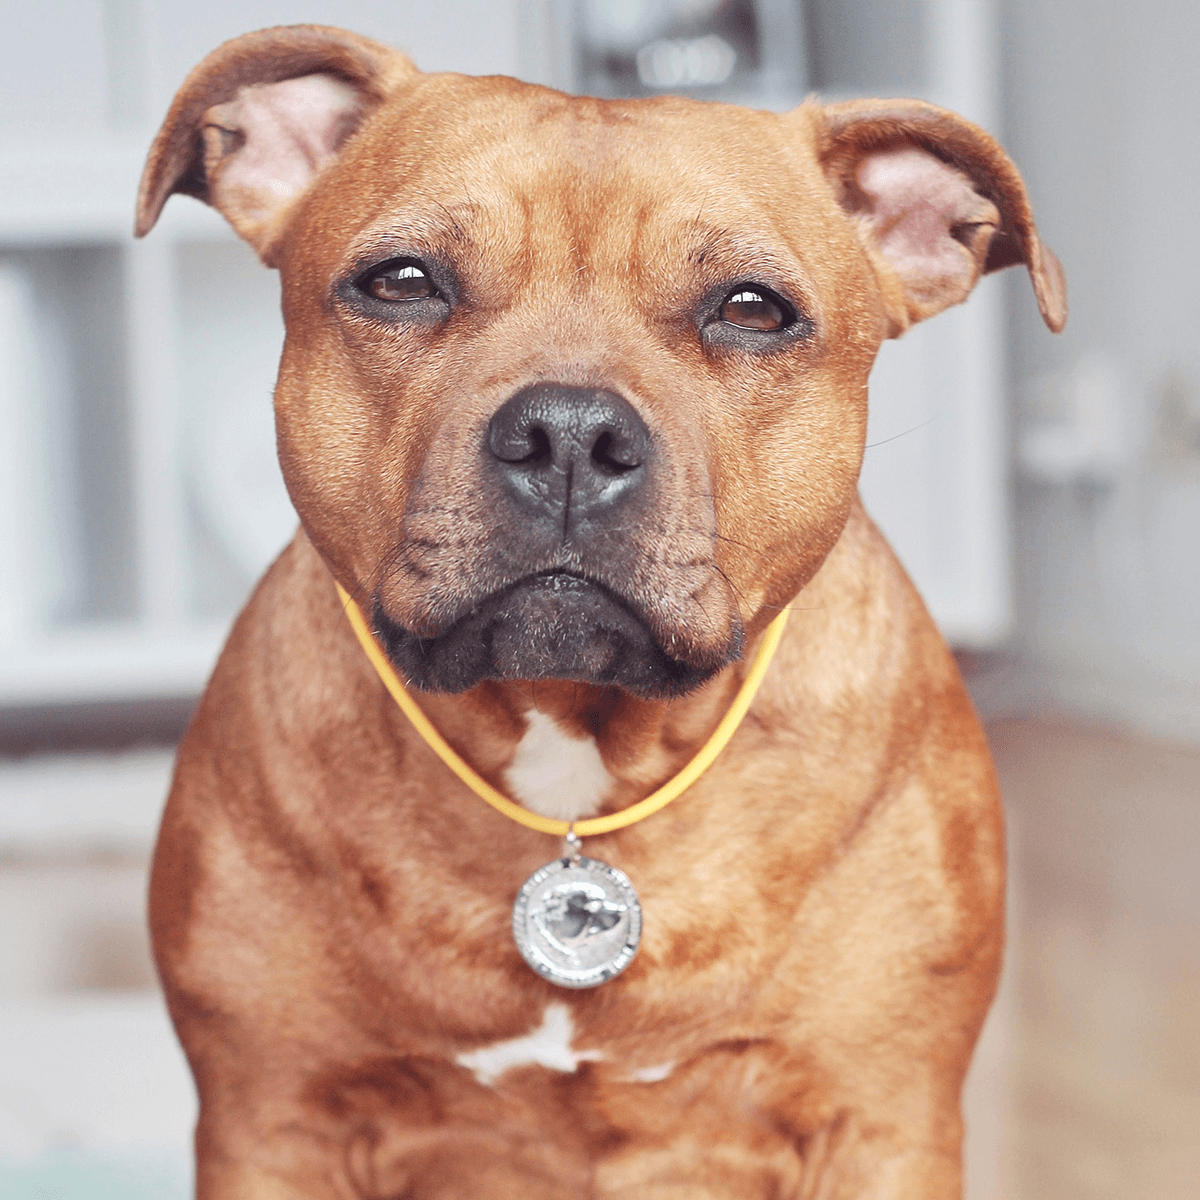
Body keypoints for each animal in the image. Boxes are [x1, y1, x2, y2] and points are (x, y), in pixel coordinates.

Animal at [136, 21, 1065, 1200]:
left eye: (752, 309)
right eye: (401, 282)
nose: (569, 433)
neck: (575, 756)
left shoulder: (879, 1123)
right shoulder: (272, 1120)